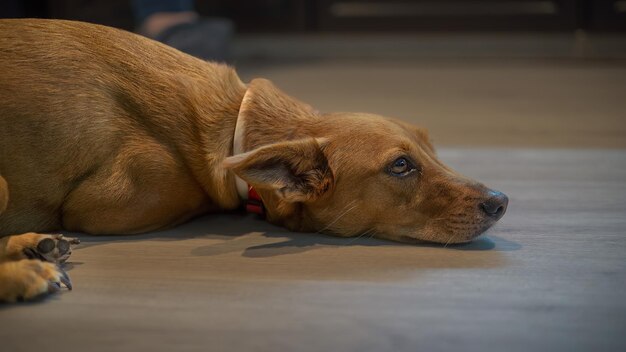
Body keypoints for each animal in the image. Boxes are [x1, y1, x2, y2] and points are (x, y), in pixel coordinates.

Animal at [0, 18, 508, 300]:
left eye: (430, 149)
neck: (233, 125)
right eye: (400, 166)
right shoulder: (111, 202)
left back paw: (34, 246)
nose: (501, 201)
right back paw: (25, 271)